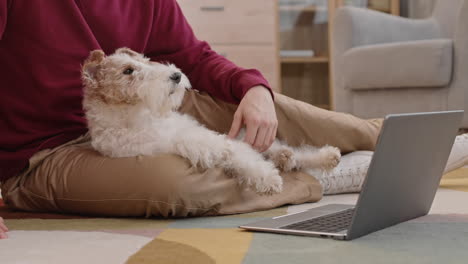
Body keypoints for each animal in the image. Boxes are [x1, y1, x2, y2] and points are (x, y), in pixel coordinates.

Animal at [82, 48, 342, 195]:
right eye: (127, 71)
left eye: (146, 61)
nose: (176, 75)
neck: (139, 116)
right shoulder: (202, 145)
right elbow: (244, 161)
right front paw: (268, 180)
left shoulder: (208, 136)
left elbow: (242, 154)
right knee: (282, 157)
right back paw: (288, 160)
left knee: (291, 152)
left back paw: (325, 156)